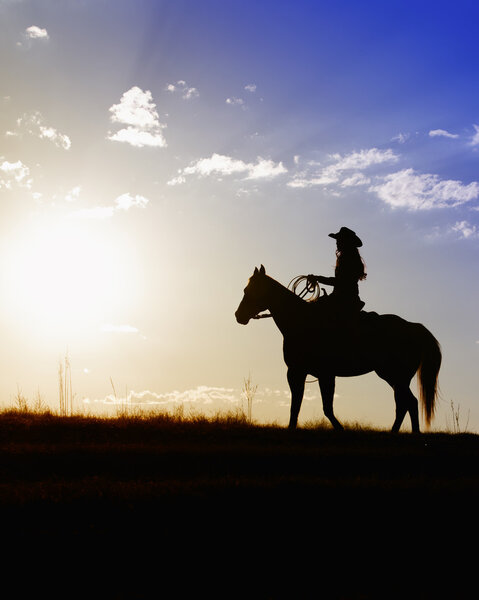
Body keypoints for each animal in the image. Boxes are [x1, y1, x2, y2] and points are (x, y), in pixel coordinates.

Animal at [236, 266, 442, 432]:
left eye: (249, 289)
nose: (239, 316)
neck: (300, 321)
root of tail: (413, 327)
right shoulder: (309, 373)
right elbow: (302, 405)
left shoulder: (308, 372)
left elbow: (314, 406)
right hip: (395, 377)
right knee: (404, 403)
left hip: (395, 375)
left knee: (409, 403)